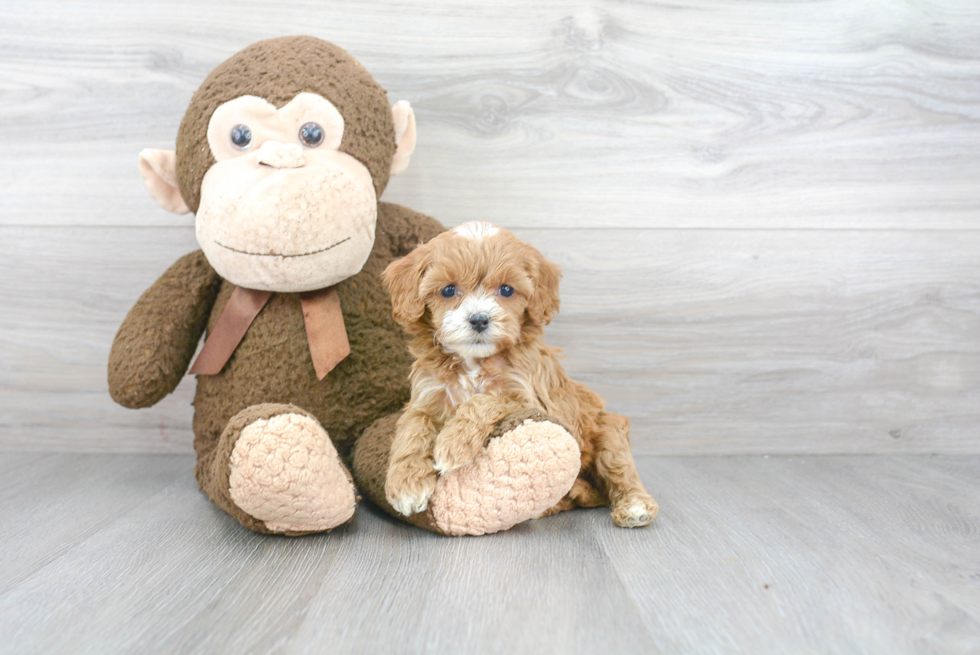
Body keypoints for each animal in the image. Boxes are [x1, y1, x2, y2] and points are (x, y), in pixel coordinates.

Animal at [382, 223, 660, 532]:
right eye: (448, 290)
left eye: (506, 290)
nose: (479, 319)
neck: (474, 361)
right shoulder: (426, 396)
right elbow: (412, 428)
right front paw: (406, 484)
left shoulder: (527, 399)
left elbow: (484, 400)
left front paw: (453, 443)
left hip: (608, 430)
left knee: (619, 468)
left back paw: (635, 506)